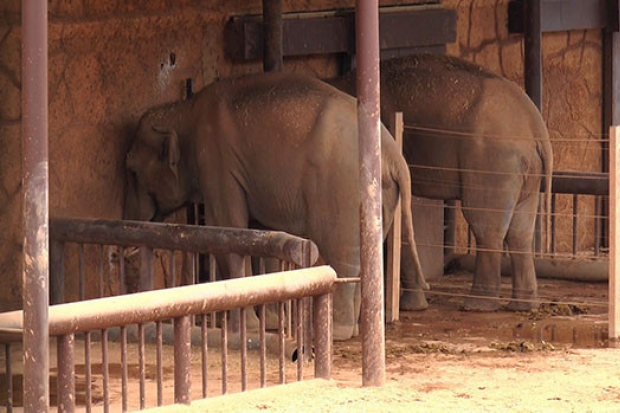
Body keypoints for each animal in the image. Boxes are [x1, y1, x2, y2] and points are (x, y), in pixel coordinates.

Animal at [123, 71, 428, 342]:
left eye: (133, 171)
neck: (184, 110)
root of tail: (394, 155)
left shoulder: (217, 161)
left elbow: (228, 227)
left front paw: (244, 328)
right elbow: (267, 237)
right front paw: (269, 323)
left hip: (342, 185)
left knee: (340, 252)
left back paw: (336, 333)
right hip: (381, 194)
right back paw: (350, 330)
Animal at [330, 53, 552, 312]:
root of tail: (536, 128)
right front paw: (414, 305)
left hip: (492, 163)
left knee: (485, 224)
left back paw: (476, 305)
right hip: (526, 172)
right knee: (520, 232)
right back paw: (523, 306)